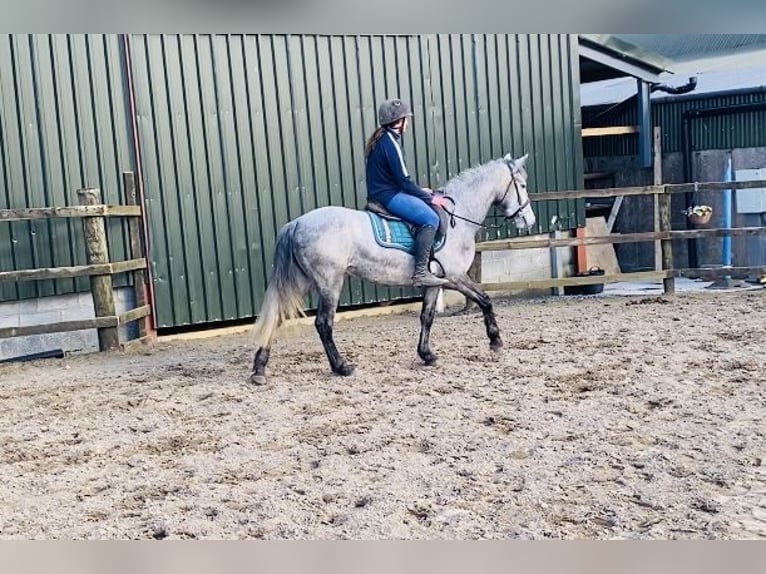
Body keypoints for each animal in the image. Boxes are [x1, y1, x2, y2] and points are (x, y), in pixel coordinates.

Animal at [249, 154, 536, 388]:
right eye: (522, 186)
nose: (530, 220)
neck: (458, 219)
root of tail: (297, 223)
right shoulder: (452, 277)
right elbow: (484, 299)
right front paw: (495, 340)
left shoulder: (434, 283)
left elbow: (427, 317)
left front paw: (427, 354)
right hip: (330, 283)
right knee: (323, 324)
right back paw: (342, 367)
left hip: (302, 281)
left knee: (275, 317)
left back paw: (259, 369)